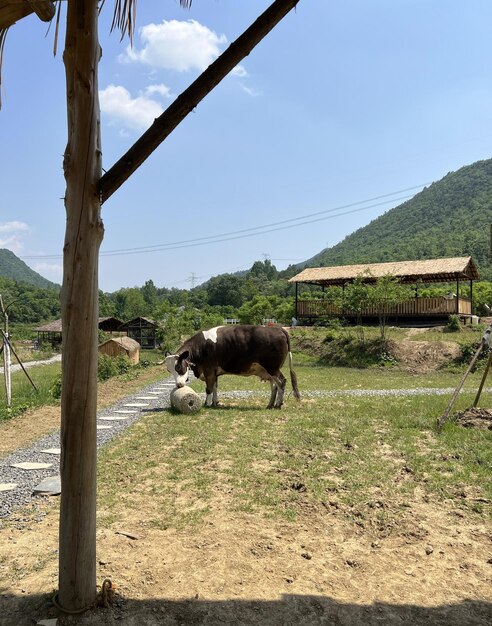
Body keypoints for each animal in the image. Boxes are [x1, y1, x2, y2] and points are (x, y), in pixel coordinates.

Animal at [165, 324, 300, 408]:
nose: (179, 385)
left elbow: (209, 388)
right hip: (270, 370)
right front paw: (215, 403)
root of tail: (278, 329)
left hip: (272, 367)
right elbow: (215, 387)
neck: (201, 347)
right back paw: (270, 404)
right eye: (169, 370)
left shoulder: (209, 370)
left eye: (178, 367)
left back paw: (278, 404)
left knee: (282, 382)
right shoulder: (214, 373)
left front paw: (207, 404)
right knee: (274, 386)